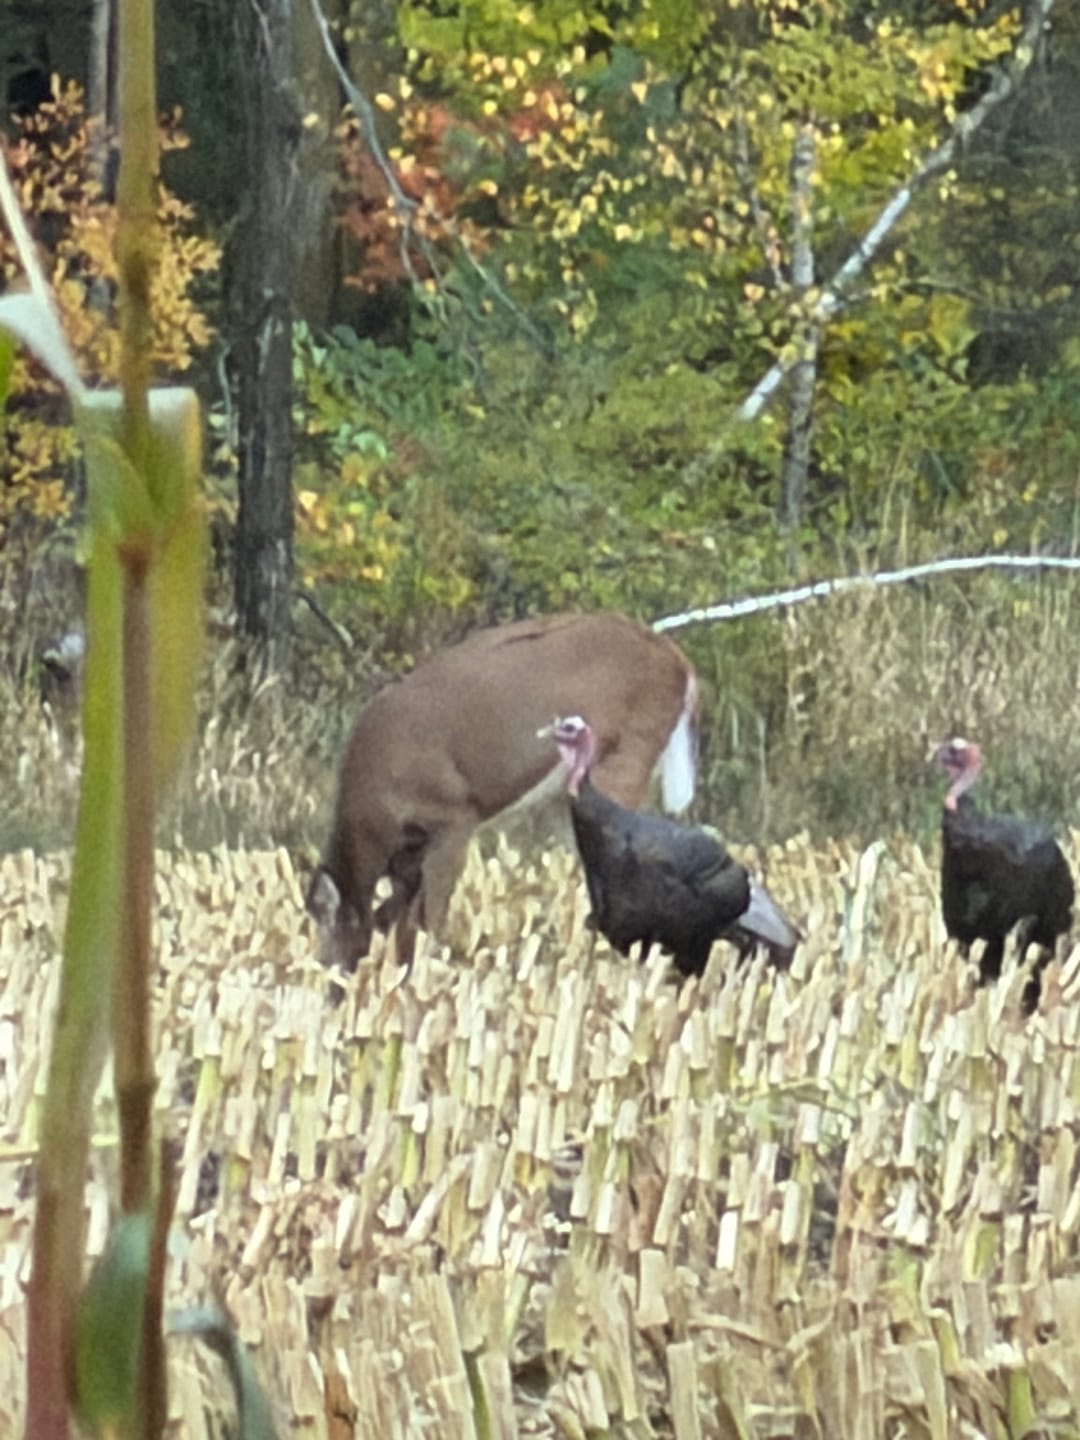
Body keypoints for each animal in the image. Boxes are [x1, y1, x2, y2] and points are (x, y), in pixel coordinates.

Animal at [306, 611, 699, 970]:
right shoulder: (409, 858)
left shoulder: (456, 815)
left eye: (327, 956)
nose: (331, 990)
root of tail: (682, 666)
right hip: (570, 796)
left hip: (626, 757)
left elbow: (424, 921)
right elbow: (391, 920)